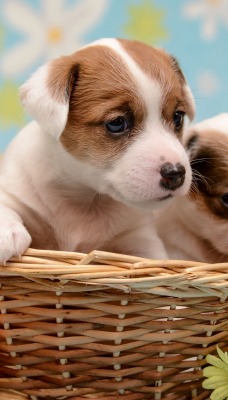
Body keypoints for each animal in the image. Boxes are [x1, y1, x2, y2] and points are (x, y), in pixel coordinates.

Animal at [0, 36, 194, 262]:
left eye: (178, 117)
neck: (85, 198)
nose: (176, 173)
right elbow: (6, 205)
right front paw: (7, 232)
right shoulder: (14, 192)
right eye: (117, 123)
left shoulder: (139, 237)